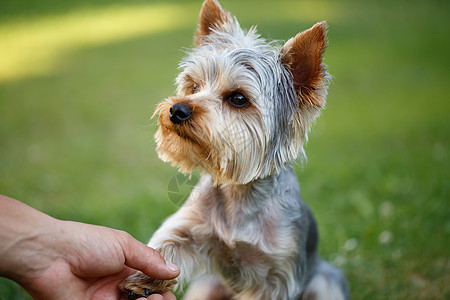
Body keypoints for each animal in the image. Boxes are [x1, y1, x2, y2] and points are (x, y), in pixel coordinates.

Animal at [121, 1, 350, 298]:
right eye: (193, 86)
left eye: (238, 98)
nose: (177, 109)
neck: (236, 192)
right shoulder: (190, 229)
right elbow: (166, 245)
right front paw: (144, 278)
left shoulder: (276, 274)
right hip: (208, 285)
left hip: (325, 281)